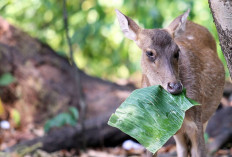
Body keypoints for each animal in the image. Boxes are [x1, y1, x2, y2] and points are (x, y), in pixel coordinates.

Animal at [115, 8, 225, 157]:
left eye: (177, 51)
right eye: (149, 53)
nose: (175, 86)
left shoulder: (197, 121)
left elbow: (201, 151)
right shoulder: (153, 129)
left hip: (205, 117)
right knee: (182, 149)